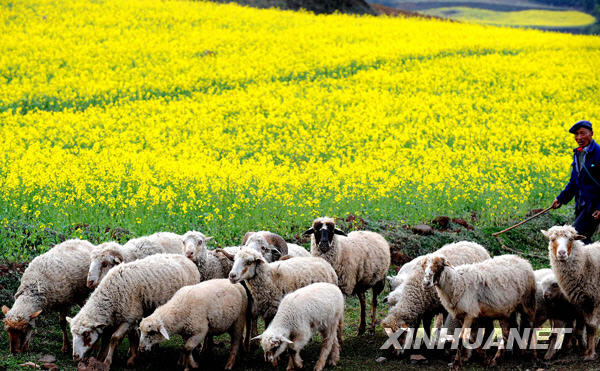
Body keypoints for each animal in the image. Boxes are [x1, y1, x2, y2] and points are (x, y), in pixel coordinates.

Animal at [67, 254, 200, 368]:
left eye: (86, 334)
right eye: (73, 334)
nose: (75, 356)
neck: (111, 295)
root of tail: (187, 260)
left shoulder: (129, 317)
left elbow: (114, 338)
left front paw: (108, 361)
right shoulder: (118, 319)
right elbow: (119, 337)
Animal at [540, 225, 600, 362]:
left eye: (571, 239)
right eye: (552, 239)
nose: (562, 253)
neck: (585, 264)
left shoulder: (594, 299)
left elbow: (591, 326)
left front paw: (589, 353)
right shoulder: (582, 303)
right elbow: (580, 328)